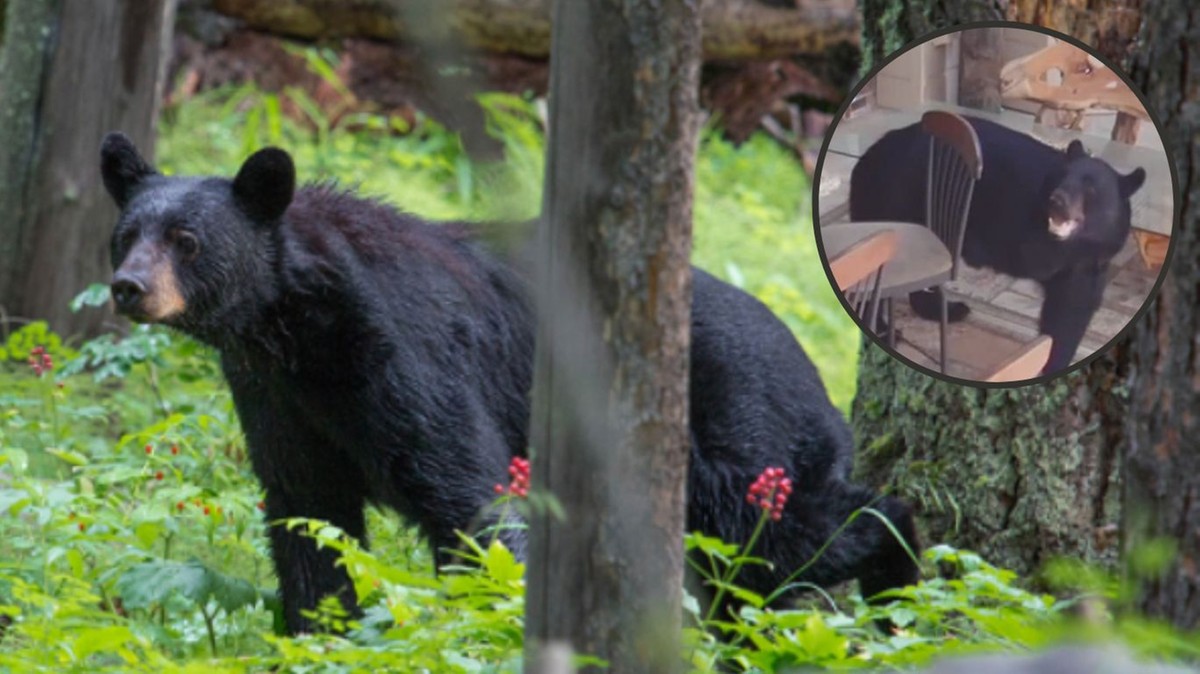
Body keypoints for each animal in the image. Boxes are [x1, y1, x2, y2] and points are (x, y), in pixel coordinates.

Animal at [100, 133, 916, 633]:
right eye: (126, 234)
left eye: (187, 240)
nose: (128, 287)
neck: (298, 324)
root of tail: (810, 366)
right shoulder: (277, 397)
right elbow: (308, 520)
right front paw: (320, 634)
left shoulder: (409, 358)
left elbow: (471, 497)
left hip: (739, 432)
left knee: (784, 540)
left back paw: (900, 577)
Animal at [849, 113, 1147, 369]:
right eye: (1062, 178)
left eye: (1090, 189)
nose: (1058, 201)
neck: (1072, 246)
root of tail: (868, 157)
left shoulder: (1088, 262)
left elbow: (1071, 309)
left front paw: (1051, 360)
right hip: (898, 198)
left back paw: (947, 309)